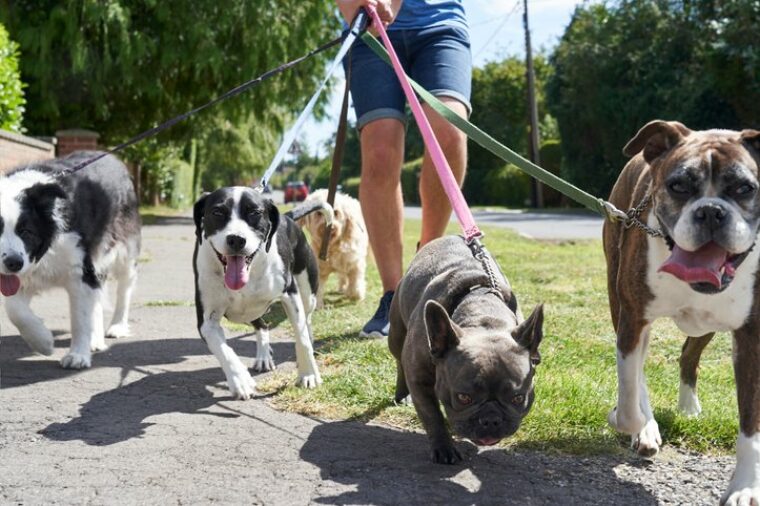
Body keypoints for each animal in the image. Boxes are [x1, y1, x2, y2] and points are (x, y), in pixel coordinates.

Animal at [0, 150, 141, 368]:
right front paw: (43, 342)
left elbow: (80, 318)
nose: (14, 263)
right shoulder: (25, 273)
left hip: (124, 244)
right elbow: (14, 310)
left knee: (125, 286)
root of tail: (110, 156)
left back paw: (117, 326)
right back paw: (96, 339)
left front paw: (78, 355)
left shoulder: (79, 269)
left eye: (26, 231)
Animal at [193, 186, 332, 400]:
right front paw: (240, 380)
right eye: (217, 212)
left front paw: (308, 374)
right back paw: (263, 357)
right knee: (263, 326)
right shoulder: (207, 321)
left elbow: (301, 337)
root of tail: (286, 216)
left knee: (306, 320)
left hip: (308, 293)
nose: (236, 239)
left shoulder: (290, 295)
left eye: (255, 213)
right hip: (247, 312)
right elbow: (223, 350)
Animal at [604, 120, 760, 504]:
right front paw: (638, 425)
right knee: (641, 370)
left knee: (689, 354)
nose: (711, 211)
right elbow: (629, 397)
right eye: (678, 186)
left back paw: (688, 407)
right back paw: (647, 428)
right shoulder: (633, 318)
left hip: (705, 326)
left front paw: (745, 486)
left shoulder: (752, 337)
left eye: (745, 188)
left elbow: (751, 426)